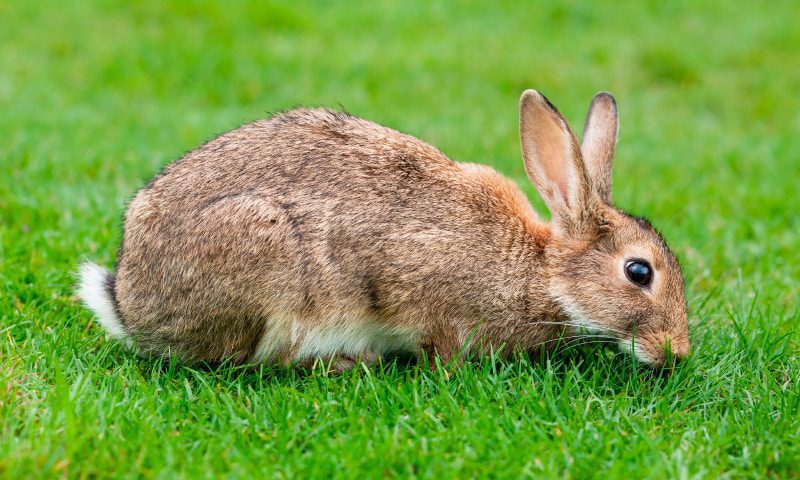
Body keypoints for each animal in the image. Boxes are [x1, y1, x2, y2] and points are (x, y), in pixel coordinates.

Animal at [78, 90, 689, 370]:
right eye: (639, 272)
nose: (677, 352)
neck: (542, 272)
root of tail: (129, 304)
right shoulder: (422, 288)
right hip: (266, 267)